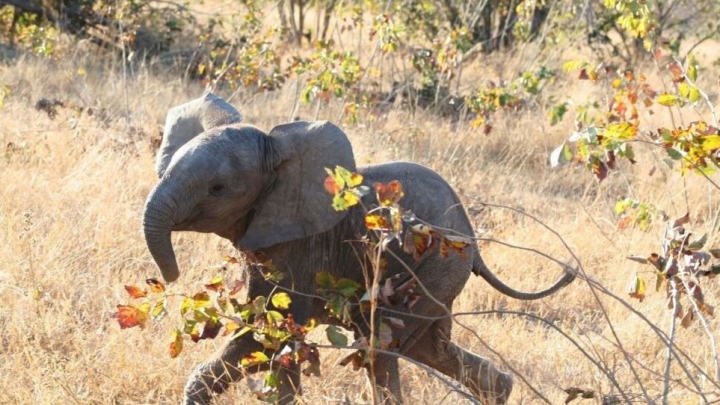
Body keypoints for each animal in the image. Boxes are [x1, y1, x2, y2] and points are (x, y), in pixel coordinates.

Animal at [143, 93, 576, 402]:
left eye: (217, 189)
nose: (168, 277)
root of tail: (472, 236)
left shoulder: (297, 246)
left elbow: (271, 330)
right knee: (430, 349)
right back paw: (500, 389)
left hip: (433, 269)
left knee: (380, 348)